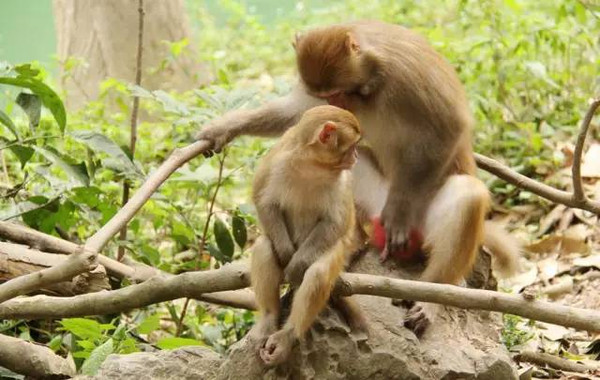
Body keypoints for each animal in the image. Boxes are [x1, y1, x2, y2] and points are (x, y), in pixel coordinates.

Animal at [198, 20, 520, 336]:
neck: (375, 78)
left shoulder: (408, 74)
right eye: (325, 96)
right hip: (371, 201)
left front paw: (398, 215)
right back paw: (351, 244)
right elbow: (296, 114)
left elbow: (448, 127)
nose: (340, 104)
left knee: (468, 195)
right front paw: (227, 126)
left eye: (338, 90)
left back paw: (432, 295)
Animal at [248, 104, 366, 366]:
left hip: (333, 256)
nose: (356, 157)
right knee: (264, 246)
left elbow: (336, 222)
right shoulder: (278, 159)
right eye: (352, 146)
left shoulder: (342, 181)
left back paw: (287, 335)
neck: (313, 164)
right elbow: (265, 202)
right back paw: (269, 319)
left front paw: (296, 266)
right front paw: (285, 254)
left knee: (319, 271)